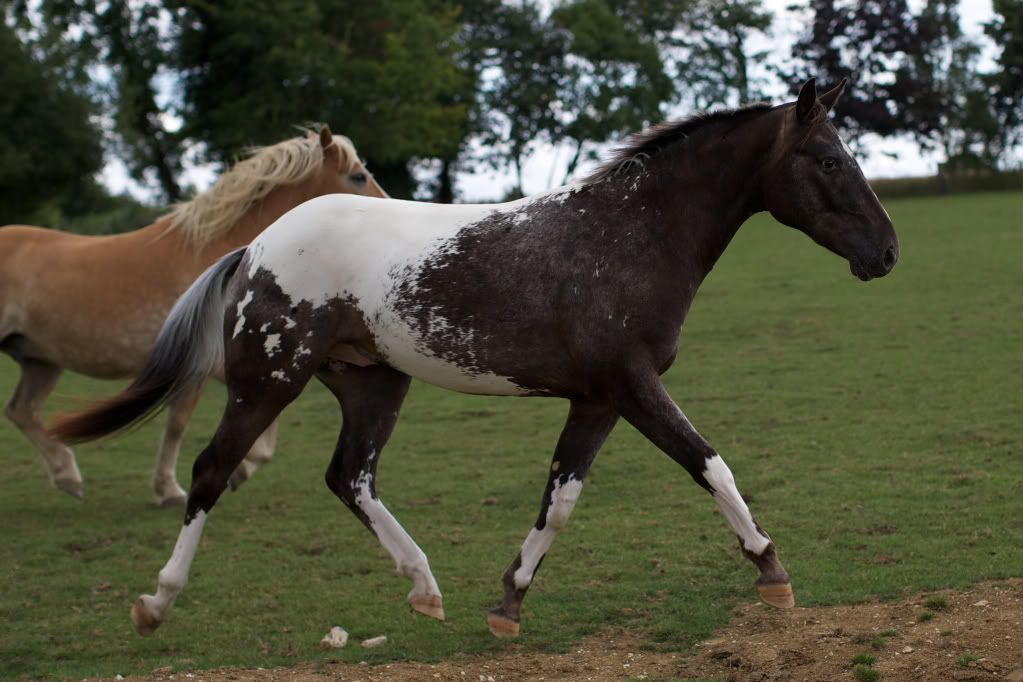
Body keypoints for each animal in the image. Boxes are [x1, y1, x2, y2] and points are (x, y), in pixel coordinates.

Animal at [3, 126, 386, 507]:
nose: (390, 204)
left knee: (22, 411)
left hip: (41, 362)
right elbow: (179, 426)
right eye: (358, 176)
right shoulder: (202, 368)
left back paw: (67, 475)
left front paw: (238, 470)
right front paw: (172, 488)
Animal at [51, 80, 900, 642]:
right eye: (827, 159)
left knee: (349, 477)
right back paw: (157, 602)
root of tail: (253, 248)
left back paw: (425, 589)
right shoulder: (632, 385)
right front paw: (771, 572)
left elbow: (559, 501)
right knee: (210, 472)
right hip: (268, 382)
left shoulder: (596, 400)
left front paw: (507, 603)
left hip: (371, 384)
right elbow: (709, 464)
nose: (885, 253)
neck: (624, 238)